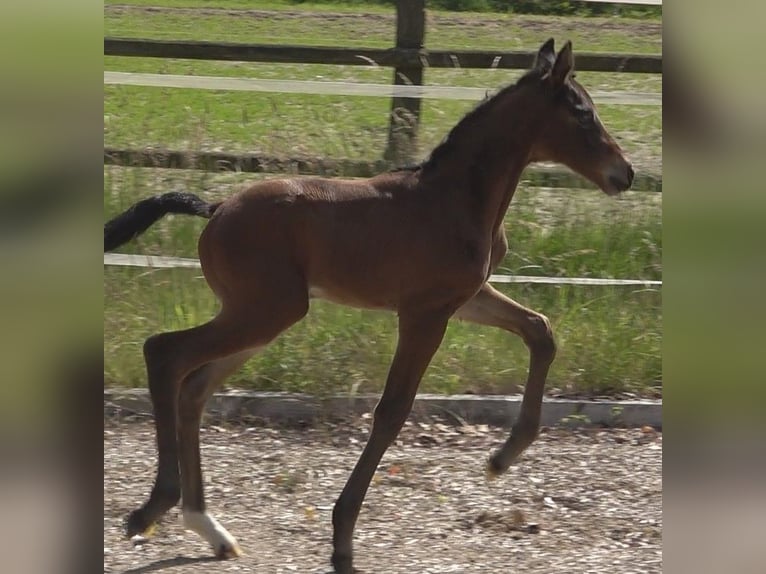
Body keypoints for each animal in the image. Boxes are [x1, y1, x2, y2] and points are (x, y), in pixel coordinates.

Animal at [106, 38, 636, 572]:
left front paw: (502, 458)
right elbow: (392, 411)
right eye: (583, 113)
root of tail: (215, 210)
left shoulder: (467, 299)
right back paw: (153, 507)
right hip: (265, 312)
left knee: (194, 387)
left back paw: (208, 527)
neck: (454, 199)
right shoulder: (424, 313)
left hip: (258, 316)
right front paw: (342, 541)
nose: (626, 173)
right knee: (165, 353)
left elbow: (540, 329)